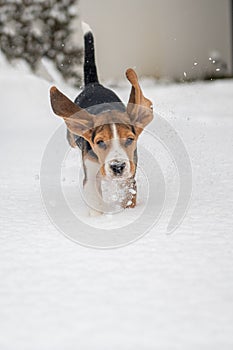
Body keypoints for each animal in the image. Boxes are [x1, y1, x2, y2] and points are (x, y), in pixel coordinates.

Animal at [50, 25, 154, 213]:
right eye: (99, 142)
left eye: (130, 139)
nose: (117, 167)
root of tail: (94, 84)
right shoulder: (91, 176)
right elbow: (95, 199)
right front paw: (102, 216)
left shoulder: (129, 175)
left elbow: (128, 196)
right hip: (71, 137)